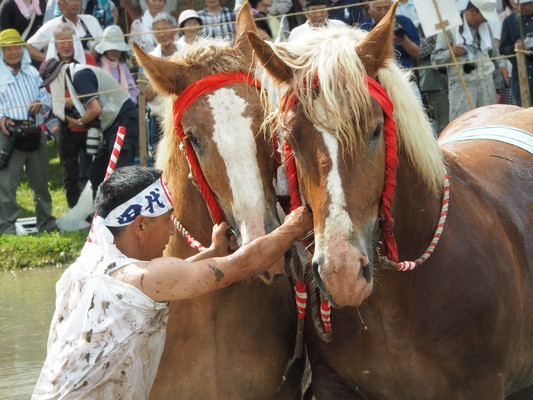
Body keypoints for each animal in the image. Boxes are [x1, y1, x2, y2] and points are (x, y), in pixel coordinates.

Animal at [245, 2, 532, 396]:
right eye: (290, 136)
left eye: (376, 129)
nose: (342, 272)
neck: (391, 302)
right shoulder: (331, 382)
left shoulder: (482, 383)